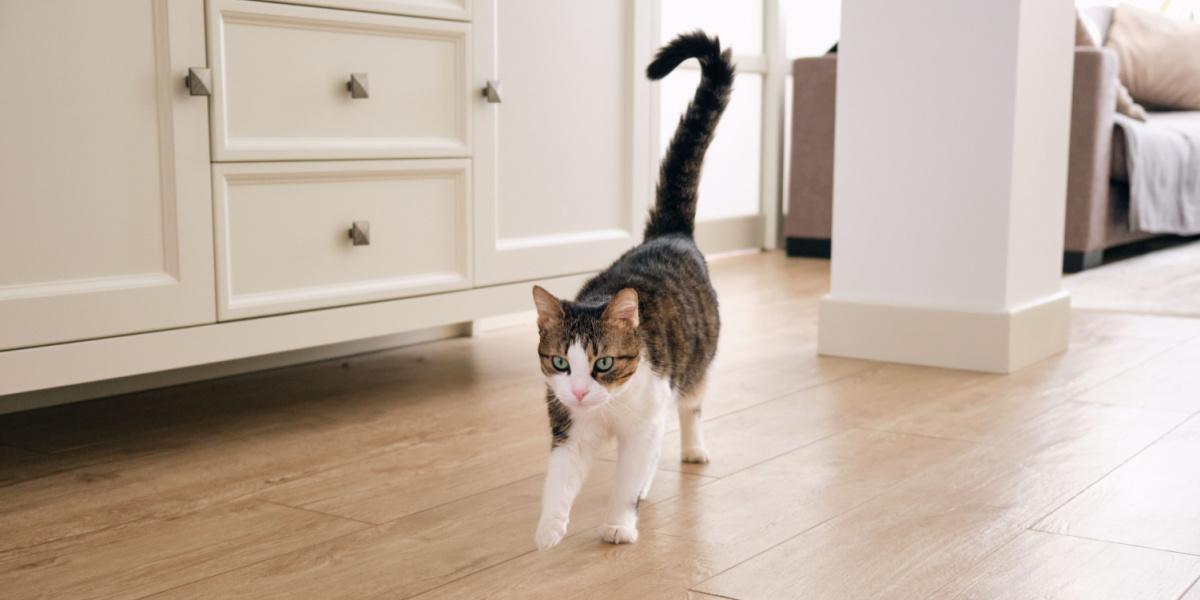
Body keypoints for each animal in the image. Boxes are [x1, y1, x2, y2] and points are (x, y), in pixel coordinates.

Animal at [532, 31, 729, 549]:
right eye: (560, 362)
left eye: (603, 363)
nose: (581, 391)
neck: (607, 409)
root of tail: (669, 233)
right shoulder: (570, 425)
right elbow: (560, 478)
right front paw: (548, 529)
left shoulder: (645, 422)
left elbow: (627, 478)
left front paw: (620, 522)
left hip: (697, 362)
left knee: (692, 406)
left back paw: (693, 450)